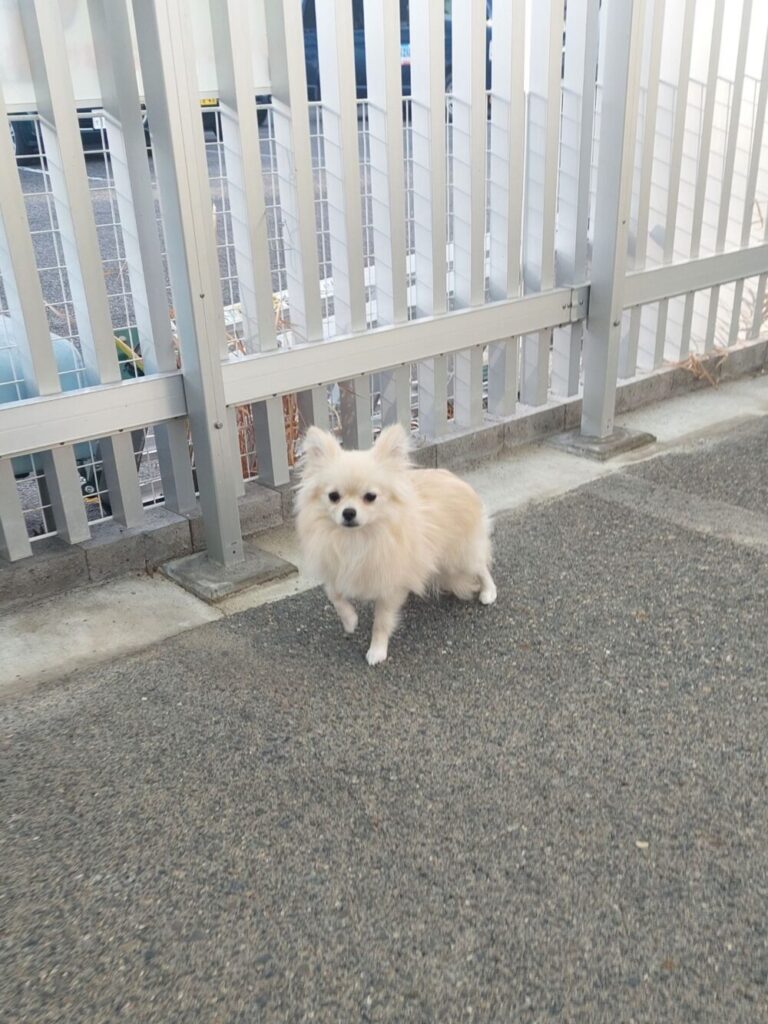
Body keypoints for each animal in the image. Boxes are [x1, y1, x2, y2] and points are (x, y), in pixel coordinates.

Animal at [296, 423, 496, 665]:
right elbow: (334, 595)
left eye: (370, 497)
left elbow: (381, 622)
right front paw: (350, 621)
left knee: (481, 566)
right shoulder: (336, 570)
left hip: (459, 556)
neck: (357, 538)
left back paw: (489, 592)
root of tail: (458, 480)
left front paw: (377, 651)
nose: (349, 512)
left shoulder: (389, 586)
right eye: (334, 496)